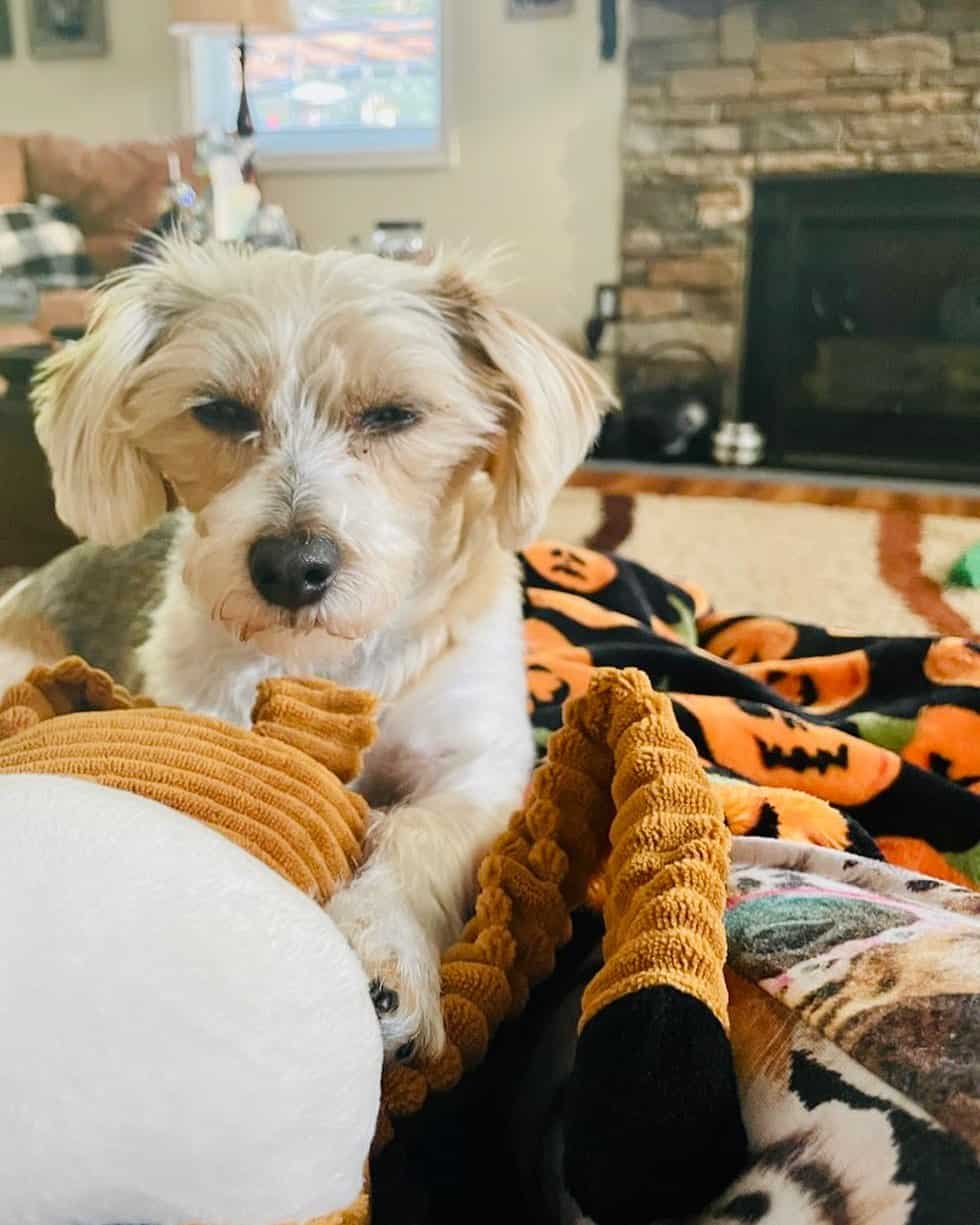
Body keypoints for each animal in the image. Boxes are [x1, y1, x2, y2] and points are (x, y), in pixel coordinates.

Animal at [0, 236, 612, 1053]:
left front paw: (385, 944)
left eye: (393, 414)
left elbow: (420, 832)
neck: (335, 660)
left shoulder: (478, 771)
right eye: (220, 411)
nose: (292, 566)